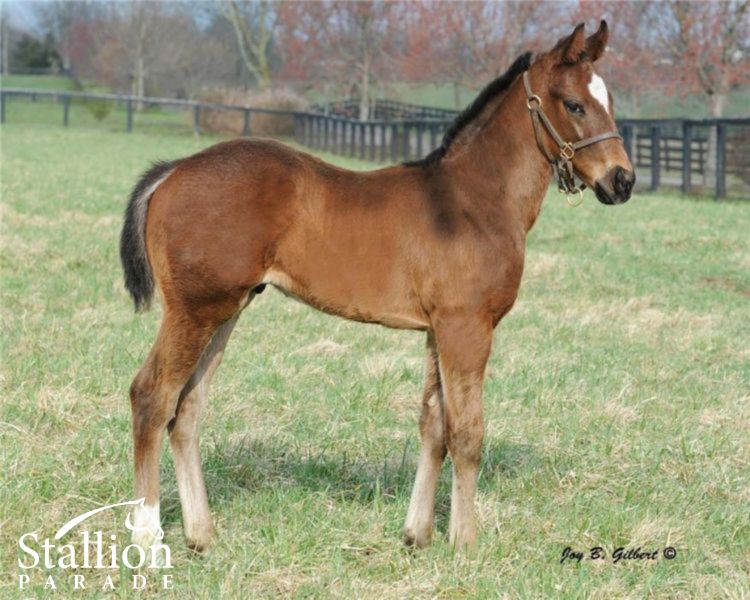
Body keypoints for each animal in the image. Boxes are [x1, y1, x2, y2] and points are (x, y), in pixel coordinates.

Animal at [120, 20, 634, 554]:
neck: (473, 201)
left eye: (610, 99)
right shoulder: (467, 327)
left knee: (187, 408)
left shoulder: (438, 330)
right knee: (152, 397)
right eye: (574, 104)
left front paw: (417, 534)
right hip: (194, 310)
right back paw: (148, 534)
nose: (622, 180)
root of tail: (172, 171)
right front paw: (465, 543)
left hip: (225, 310)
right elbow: (467, 433)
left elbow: (433, 425)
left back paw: (201, 534)